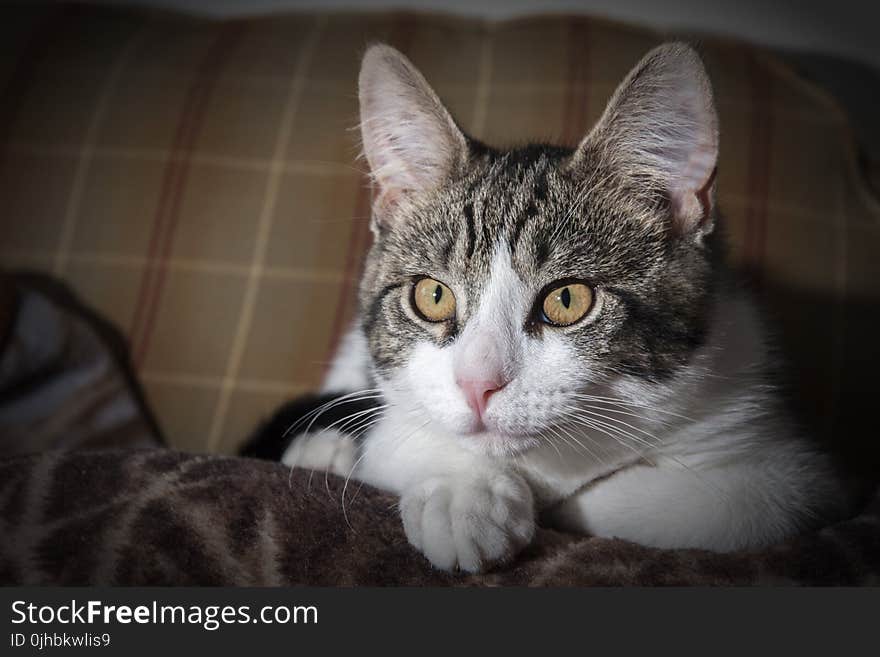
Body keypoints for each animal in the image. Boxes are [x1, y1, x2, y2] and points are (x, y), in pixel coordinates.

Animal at [262, 42, 844, 576]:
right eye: (433, 296)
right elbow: (403, 436)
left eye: (567, 300)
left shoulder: (784, 461)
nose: (477, 384)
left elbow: (713, 506)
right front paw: (463, 494)